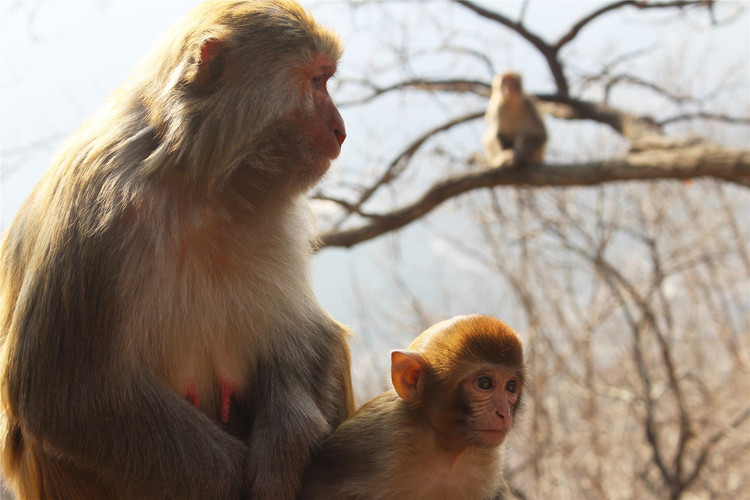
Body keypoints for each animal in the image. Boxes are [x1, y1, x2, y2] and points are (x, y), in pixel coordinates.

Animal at [0, 0, 356, 500]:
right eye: (317, 80)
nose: (341, 130)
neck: (200, 185)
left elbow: (311, 337)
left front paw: (285, 447)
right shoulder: (93, 218)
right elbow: (62, 393)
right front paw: (226, 480)